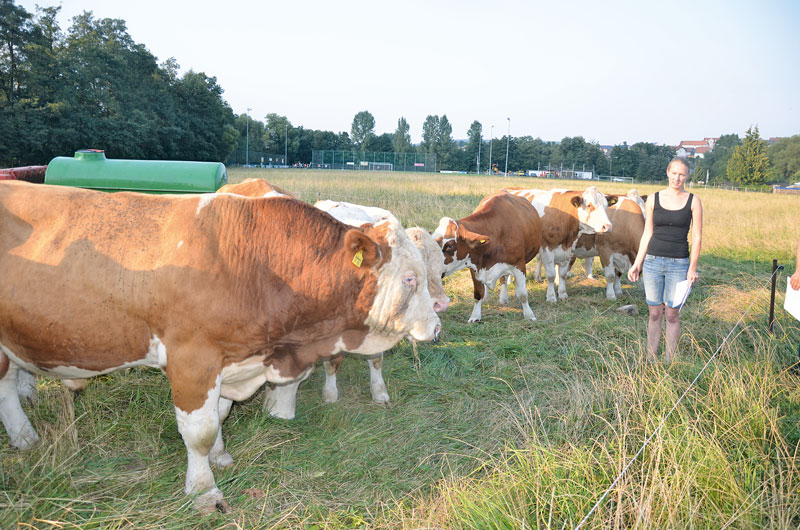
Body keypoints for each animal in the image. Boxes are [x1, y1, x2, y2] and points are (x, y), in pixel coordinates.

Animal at [0, 179, 438, 510]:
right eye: (410, 278)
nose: (436, 325)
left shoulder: (232, 360)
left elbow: (222, 414)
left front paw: (221, 457)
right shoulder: (193, 361)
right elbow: (200, 431)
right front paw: (203, 490)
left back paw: (25, 438)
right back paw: (25, 436)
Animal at [434, 190, 540, 322]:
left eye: (449, 245)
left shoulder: (519, 265)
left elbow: (522, 294)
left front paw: (529, 315)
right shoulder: (474, 266)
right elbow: (478, 293)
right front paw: (475, 316)